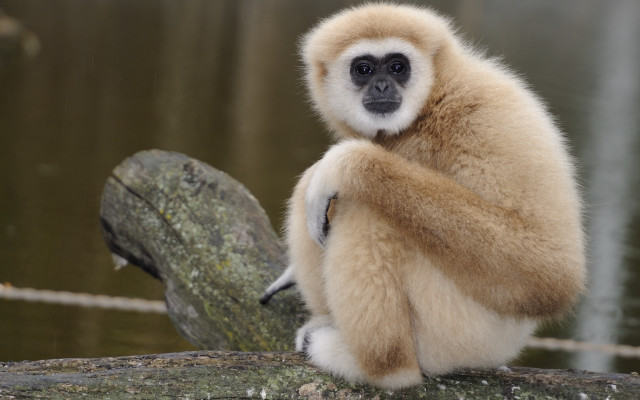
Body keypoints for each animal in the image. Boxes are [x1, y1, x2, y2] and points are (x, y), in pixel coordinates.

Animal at [261, 3, 586, 389]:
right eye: (364, 69)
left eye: (398, 67)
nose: (382, 84)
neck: (430, 104)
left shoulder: (490, 115)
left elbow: (548, 271)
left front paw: (347, 163)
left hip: (459, 332)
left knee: (363, 209)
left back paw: (382, 368)